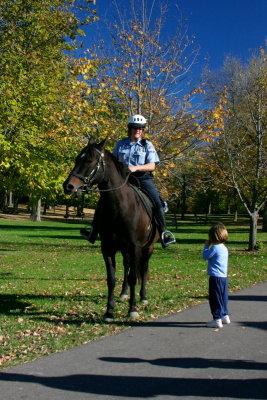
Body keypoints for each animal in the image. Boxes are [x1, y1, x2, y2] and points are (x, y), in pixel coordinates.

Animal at [63, 139, 159, 320]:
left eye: (89, 161)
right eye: (77, 159)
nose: (68, 186)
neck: (119, 206)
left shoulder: (135, 247)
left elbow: (134, 276)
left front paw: (132, 309)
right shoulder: (107, 247)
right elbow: (112, 278)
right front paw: (109, 311)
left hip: (148, 247)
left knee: (143, 268)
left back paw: (143, 297)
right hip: (124, 249)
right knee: (127, 266)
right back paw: (124, 293)